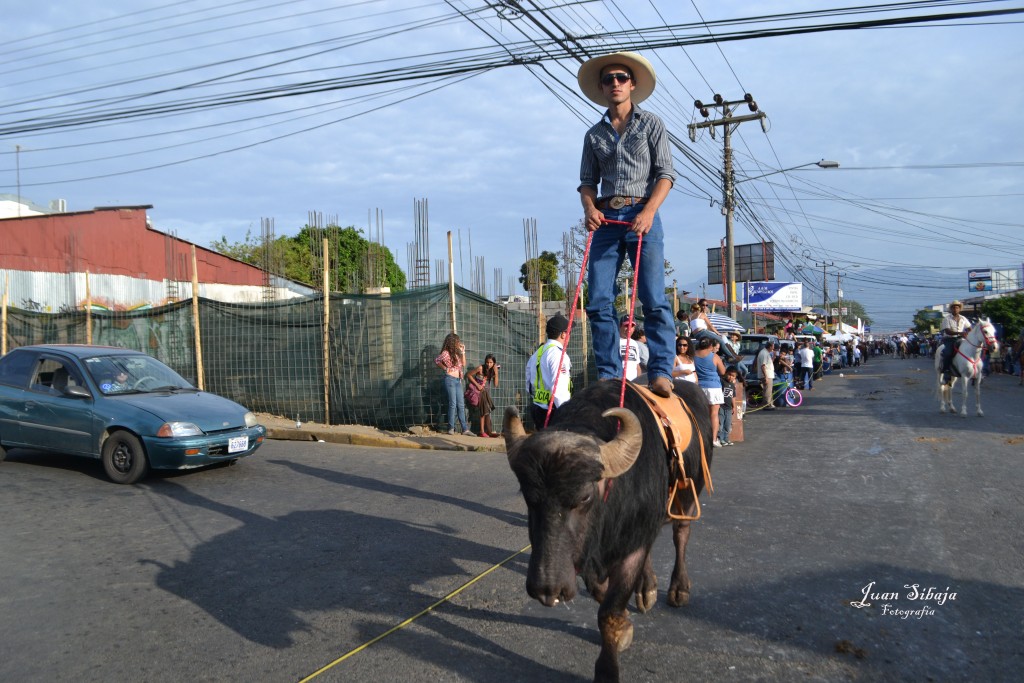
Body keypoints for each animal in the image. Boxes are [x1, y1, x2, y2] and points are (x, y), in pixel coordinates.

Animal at [503, 382, 712, 679]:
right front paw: (626, 624)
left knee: (681, 533)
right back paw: (647, 588)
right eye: (528, 495)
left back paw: (678, 589)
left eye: (585, 497)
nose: (547, 588)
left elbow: (609, 611)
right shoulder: (588, 555)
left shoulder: (630, 544)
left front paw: (608, 667)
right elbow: (601, 594)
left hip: (687, 496)